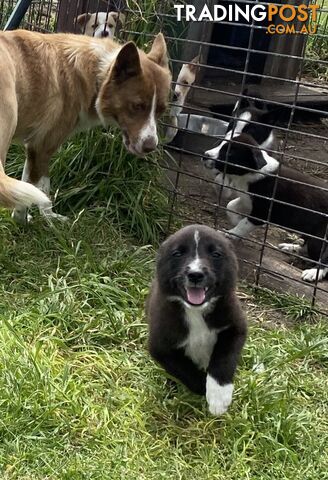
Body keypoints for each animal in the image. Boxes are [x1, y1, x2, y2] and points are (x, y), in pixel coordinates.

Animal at [0, 31, 170, 222]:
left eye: (161, 110)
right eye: (137, 106)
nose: (151, 147)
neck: (97, 73)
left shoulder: (33, 150)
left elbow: (27, 187)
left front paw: (22, 219)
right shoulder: (42, 148)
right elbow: (42, 193)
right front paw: (45, 220)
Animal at [146, 223, 246, 414]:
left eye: (216, 254)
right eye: (178, 254)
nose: (195, 274)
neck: (196, 311)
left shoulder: (234, 327)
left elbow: (224, 359)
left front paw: (218, 395)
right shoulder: (161, 346)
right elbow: (185, 371)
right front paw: (206, 390)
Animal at [204, 134, 326, 282]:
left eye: (229, 152)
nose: (205, 155)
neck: (250, 173)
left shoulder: (261, 213)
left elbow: (244, 223)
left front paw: (232, 233)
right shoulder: (246, 199)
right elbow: (231, 206)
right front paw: (236, 220)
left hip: (320, 237)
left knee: (323, 258)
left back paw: (314, 272)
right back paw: (292, 247)